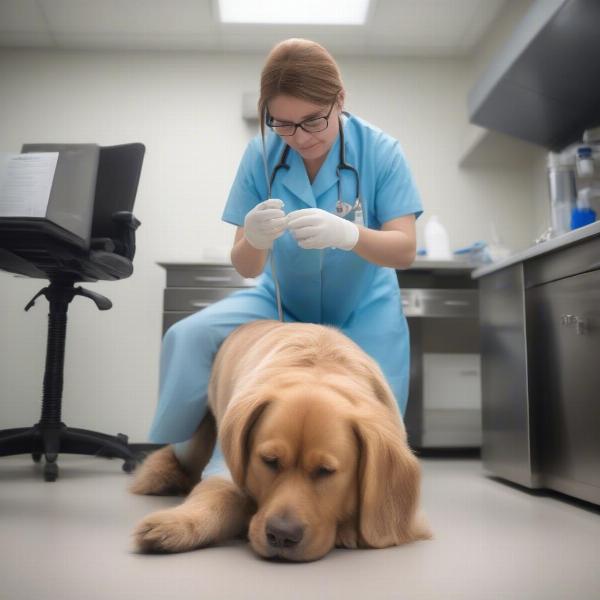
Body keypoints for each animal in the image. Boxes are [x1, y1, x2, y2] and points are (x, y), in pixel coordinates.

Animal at [131, 322, 432, 560]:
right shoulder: (228, 468)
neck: (317, 368)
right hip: (192, 443)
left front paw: (350, 528)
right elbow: (217, 494)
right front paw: (177, 523)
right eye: (270, 461)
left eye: (325, 471)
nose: (281, 536)